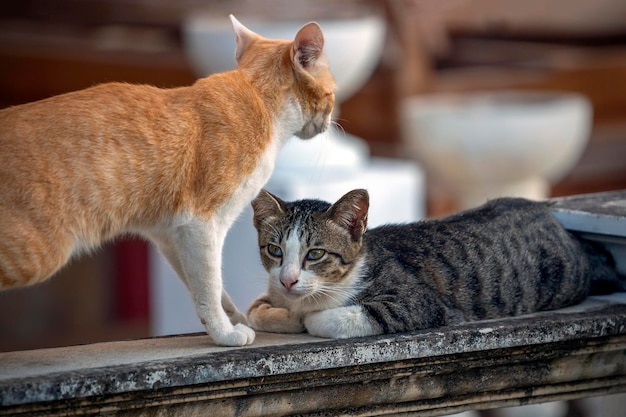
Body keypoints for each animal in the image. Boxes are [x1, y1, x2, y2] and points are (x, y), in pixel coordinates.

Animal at [0, 16, 334, 346]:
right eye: (332, 94)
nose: (329, 123)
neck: (259, 97)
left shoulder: (170, 234)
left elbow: (206, 287)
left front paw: (234, 318)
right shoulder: (201, 224)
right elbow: (210, 284)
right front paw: (225, 333)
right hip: (38, 256)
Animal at [249, 189, 620, 338]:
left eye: (315, 254)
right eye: (275, 250)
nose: (288, 280)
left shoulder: (417, 304)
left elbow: (323, 318)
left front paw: (304, 318)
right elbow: (255, 310)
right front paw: (282, 313)